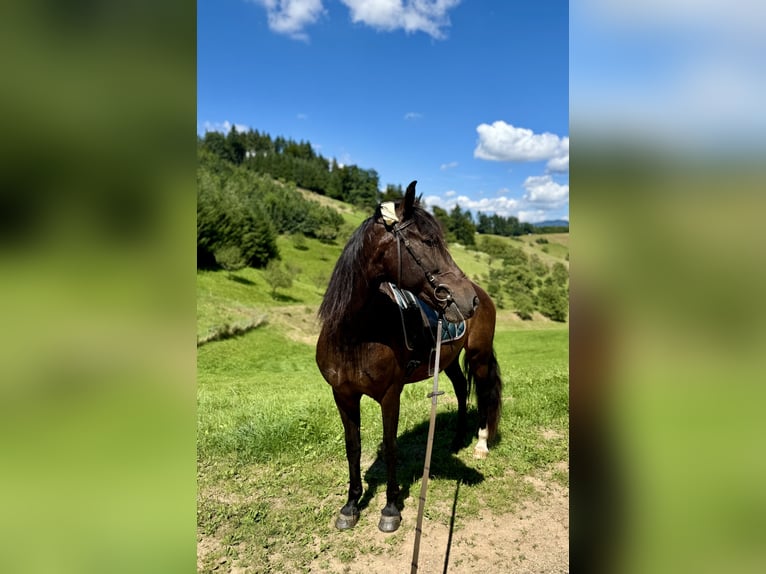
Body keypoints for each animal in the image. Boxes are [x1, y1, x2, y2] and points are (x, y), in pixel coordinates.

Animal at [318, 181, 504, 536]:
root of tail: (483, 293)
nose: (467, 300)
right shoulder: (342, 395)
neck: (355, 336)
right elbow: (353, 447)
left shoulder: (390, 395)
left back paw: (480, 444)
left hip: (479, 356)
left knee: (484, 394)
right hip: (448, 360)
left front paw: (390, 508)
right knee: (461, 389)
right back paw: (456, 439)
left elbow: (391, 447)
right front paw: (351, 505)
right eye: (429, 242)